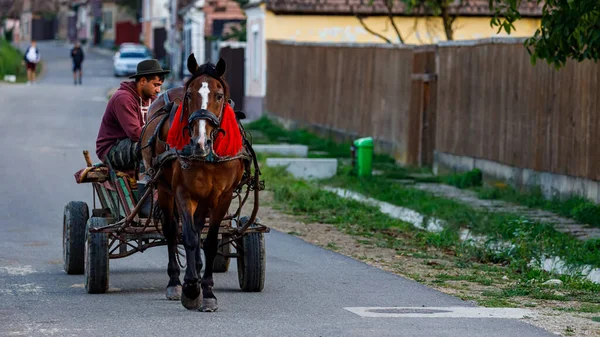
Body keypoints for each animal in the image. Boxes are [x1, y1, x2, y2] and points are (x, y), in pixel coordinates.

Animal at [140, 54, 248, 310]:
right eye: (190, 95)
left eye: (219, 95)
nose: (200, 142)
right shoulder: (183, 192)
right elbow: (188, 236)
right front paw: (190, 288)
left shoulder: (221, 196)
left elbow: (208, 241)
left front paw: (207, 292)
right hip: (165, 189)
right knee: (171, 230)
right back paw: (174, 282)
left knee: (199, 228)